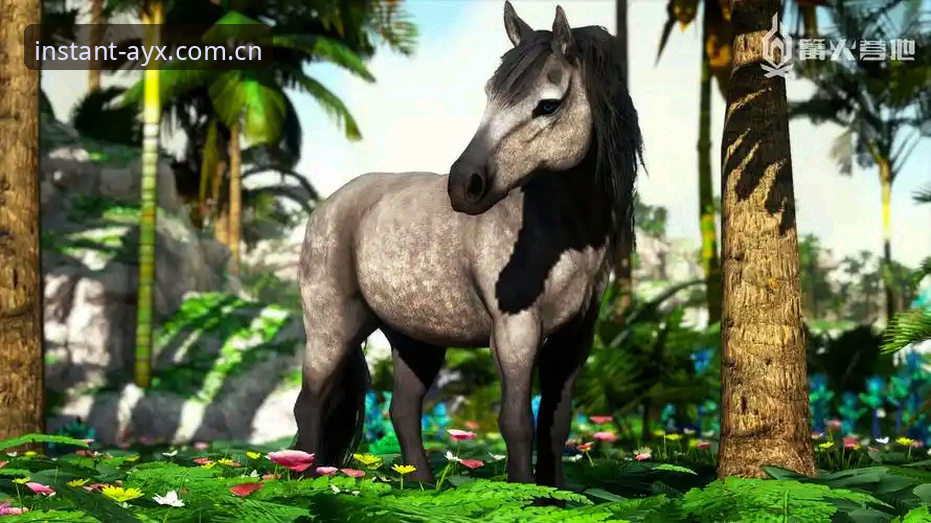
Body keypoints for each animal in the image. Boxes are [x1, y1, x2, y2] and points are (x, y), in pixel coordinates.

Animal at [292, 1, 643, 488]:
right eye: (490, 97)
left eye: (548, 105)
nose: (464, 185)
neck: (563, 230)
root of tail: (328, 206)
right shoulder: (515, 332)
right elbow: (516, 421)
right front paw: (524, 493)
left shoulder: (575, 338)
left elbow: (556, 424)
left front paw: (555, 494)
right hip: (332, 328)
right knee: (310, 403)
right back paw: (301, 482)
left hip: (416, 340)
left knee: (403, 410)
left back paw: (420, 486)